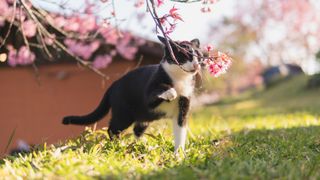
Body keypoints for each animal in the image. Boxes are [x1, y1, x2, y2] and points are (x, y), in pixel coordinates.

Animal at [62, 36, 202, 152]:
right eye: (185, 55)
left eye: (199, 56)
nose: (196, 64)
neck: (180, 79)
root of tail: (113, 85)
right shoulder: (149, 95)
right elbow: (157, 91)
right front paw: (171, 92)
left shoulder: (183, 108)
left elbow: (180, 132)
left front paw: (179, 154)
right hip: (124, 114)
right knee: (112, 129)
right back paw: (117, 145)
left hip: (143, 116)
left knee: (137, 129)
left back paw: (140, 144)